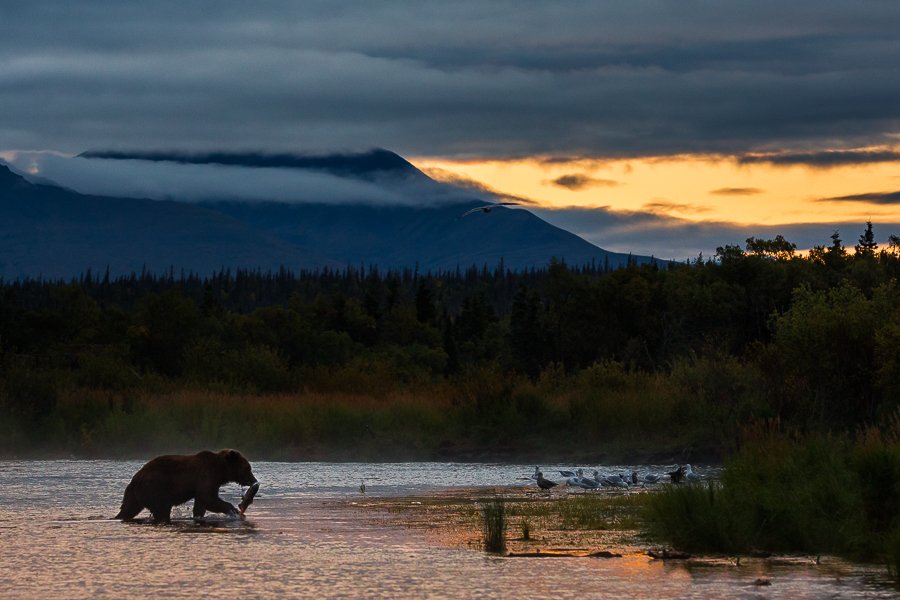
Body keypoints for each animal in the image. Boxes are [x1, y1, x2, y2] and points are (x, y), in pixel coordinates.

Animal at [115, 449, 258, 523]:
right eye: (248, 468)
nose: (254, 481)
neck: (220, 471)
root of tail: (134, 480)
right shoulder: (206, 475)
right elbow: (208, 498)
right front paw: (233, 510)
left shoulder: (209, 482)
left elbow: (201, 503)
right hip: (155, 487)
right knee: (162, 508)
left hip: (135, 494)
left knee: (129, 508)